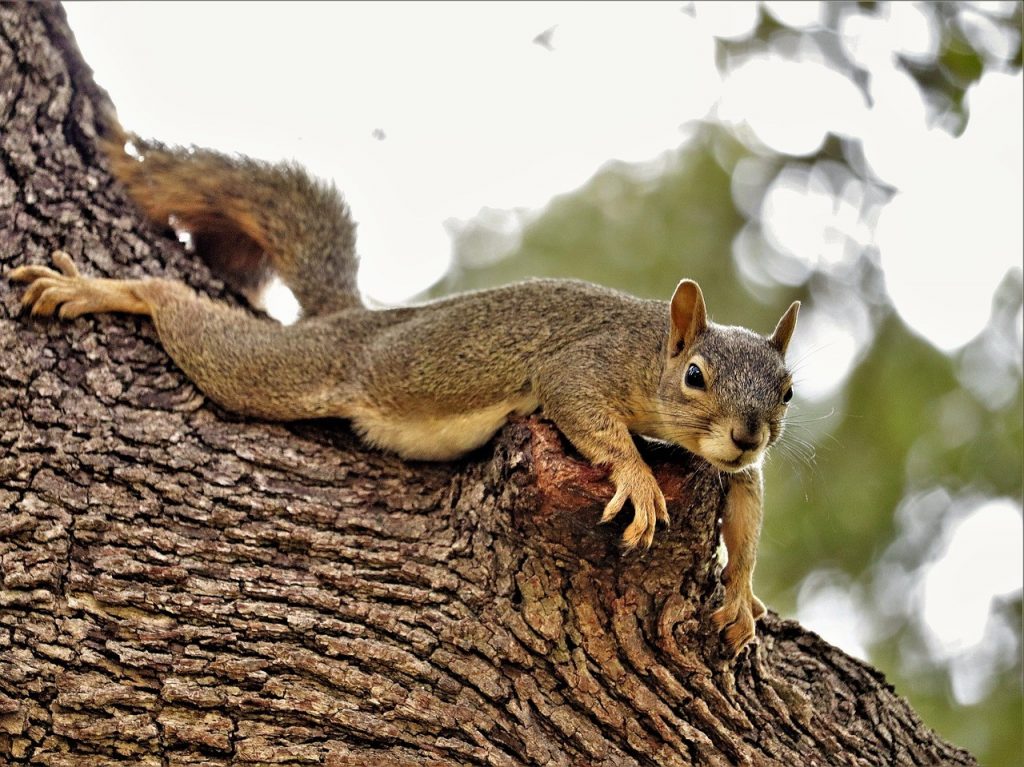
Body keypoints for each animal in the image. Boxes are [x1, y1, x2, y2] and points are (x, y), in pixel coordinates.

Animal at [12, 133, 802, 659]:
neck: (648, 349)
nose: (748, 434)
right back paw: (106, 289)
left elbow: (747, 506)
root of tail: (355, 319)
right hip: (297, 370)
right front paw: (638, 477)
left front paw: (741, 593)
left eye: (788, 390)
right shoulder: (583, 367)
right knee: (199, 328)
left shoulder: (732, 465)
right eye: (695, 376)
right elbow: (584, 411)